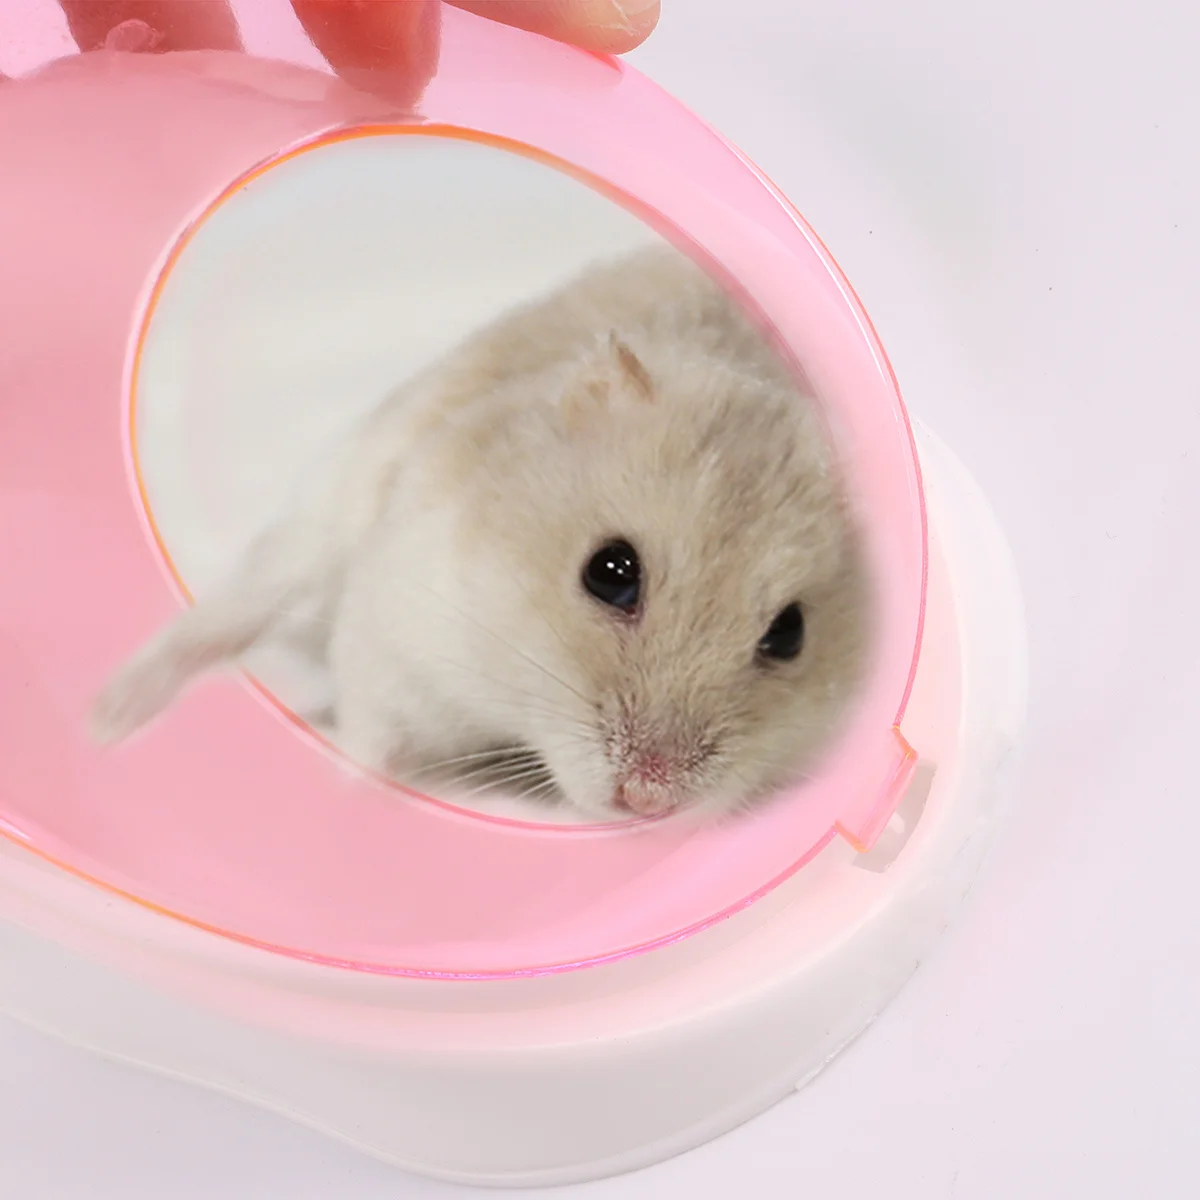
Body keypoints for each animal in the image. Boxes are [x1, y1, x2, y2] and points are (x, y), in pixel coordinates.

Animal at [92, 244, 868, 821]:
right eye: (610, 572)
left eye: (790, 636)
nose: (649, 801)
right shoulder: (397, 642)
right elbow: (371, 748)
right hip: (316, 521)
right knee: (223, 617)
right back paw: (105, 721)